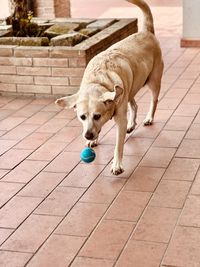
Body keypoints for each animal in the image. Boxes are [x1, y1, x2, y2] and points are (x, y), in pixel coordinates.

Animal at [54, 0, 162, 176]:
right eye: (82, 117)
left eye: (97, 116)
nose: (88, 135)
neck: (98, 81)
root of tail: (146, 32)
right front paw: (95, 140)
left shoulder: (120, 120)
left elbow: (118, 146)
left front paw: (117, 165)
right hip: (129, 87)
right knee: (134, 104)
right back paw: (132, 124)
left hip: (153, 81)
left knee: (154, 100)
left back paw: (148, 118)